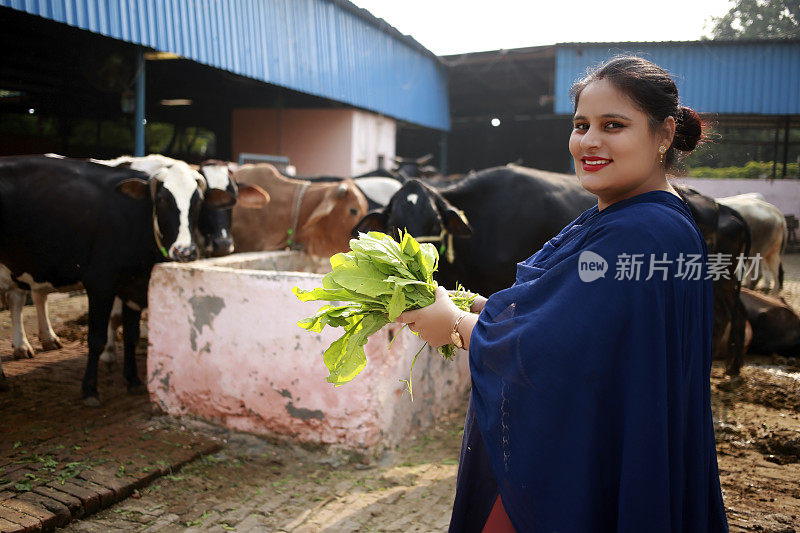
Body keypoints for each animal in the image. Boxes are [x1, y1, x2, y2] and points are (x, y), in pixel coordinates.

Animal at [0, 155, 228, 404]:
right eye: (161, 199)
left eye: (198, 201)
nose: (184, 252)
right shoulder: (100, 284)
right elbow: (96, 338)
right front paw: (90, 389)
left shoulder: (134, 286)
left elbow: (131, 335)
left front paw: (133, 380)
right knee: (18, 298)